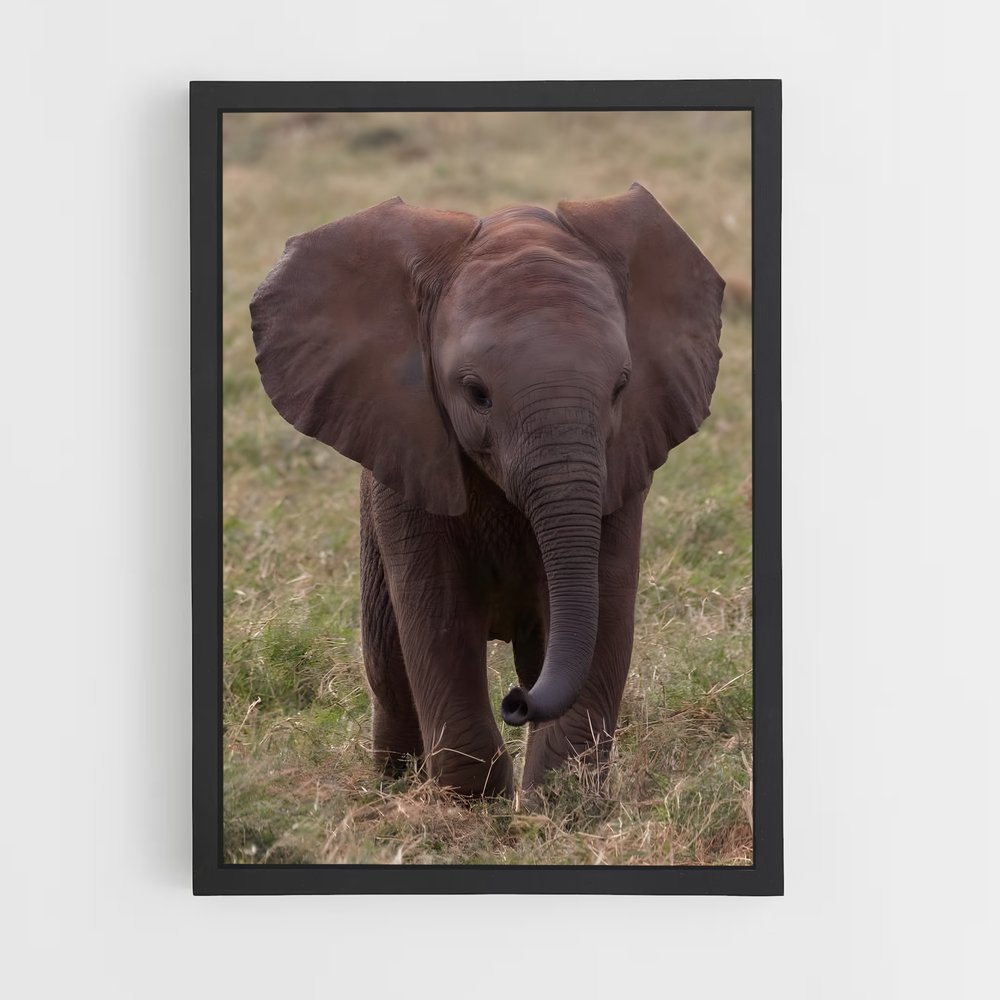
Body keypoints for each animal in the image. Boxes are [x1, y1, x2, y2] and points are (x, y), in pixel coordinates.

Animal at [250, 183, 724, 798]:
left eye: (621, 387)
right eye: (476, 394)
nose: (516, 703)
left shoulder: (623, 463)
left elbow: (605, 604)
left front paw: (560, 803)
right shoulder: (409, 457)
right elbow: (439, 615)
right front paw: (473, 804)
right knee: (389, 667)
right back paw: (394, 784)